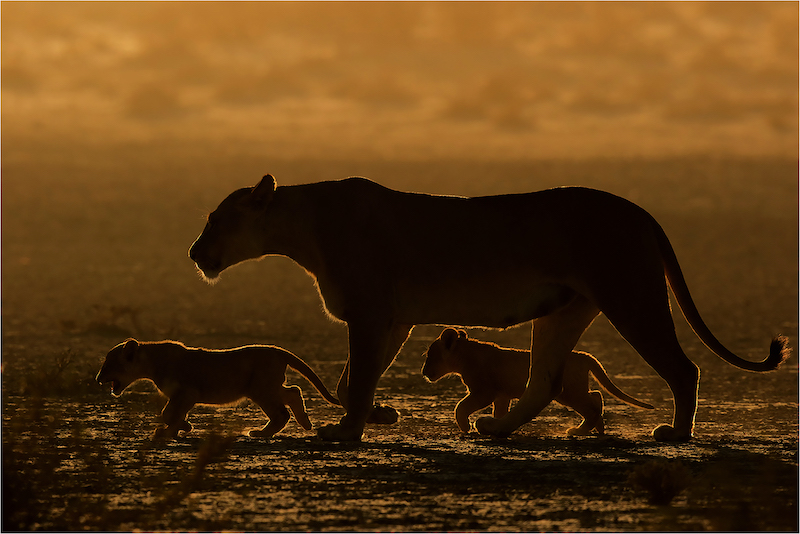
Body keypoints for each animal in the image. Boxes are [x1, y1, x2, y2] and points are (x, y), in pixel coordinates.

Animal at [96, 339, 340, 439]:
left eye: (108, 365)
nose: (98, 378)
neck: (152, 361)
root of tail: (279, 351)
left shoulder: (187, 393)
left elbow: (168, 413)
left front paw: (177, 429)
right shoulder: (182, 396)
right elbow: (172, 413)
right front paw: (177, 429)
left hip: (261, 390)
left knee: (281, 413)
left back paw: (259, 433)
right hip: (267, 387)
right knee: (294, 391)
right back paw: (306, 423)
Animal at [422, 328, 654, 435]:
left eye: (429, 356)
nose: (424, 372)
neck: (465, 355)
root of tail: (584, 355)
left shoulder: (483, 391)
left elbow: (461, 406)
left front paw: (465, 427)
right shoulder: (501, 395)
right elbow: (500, 412)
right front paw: (498, 425)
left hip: (569, 392)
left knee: (591, 406)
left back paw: (579, 431)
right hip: (576, 389)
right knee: (596, 396)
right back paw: (599, 429)